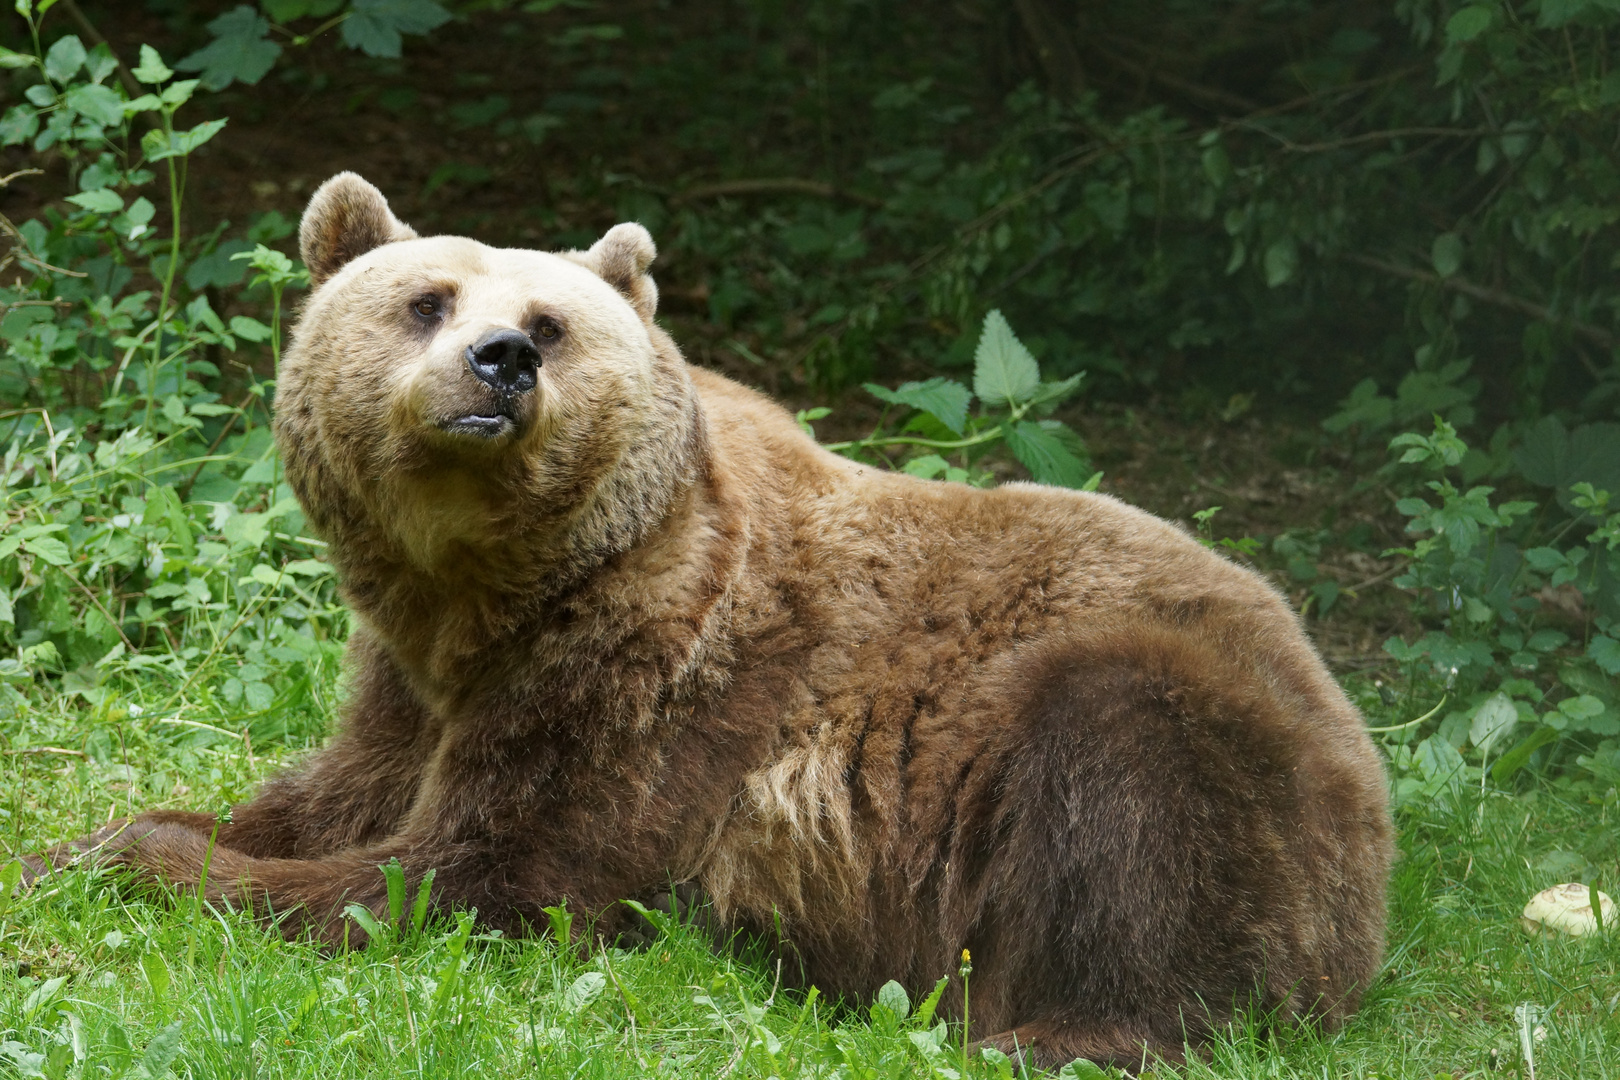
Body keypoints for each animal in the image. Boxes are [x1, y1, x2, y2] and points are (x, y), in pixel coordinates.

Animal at [25, 173, 1393, 1068]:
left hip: (1194, 737)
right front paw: (74, 849)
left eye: (554, 321)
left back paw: (1049, 1033)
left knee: (1128, 797)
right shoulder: (407, 678)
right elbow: (328, 794)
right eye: (426, 298)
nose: (503, 358)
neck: (487, 586)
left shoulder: (653, 679)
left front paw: (161, 866)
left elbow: (472, 872)